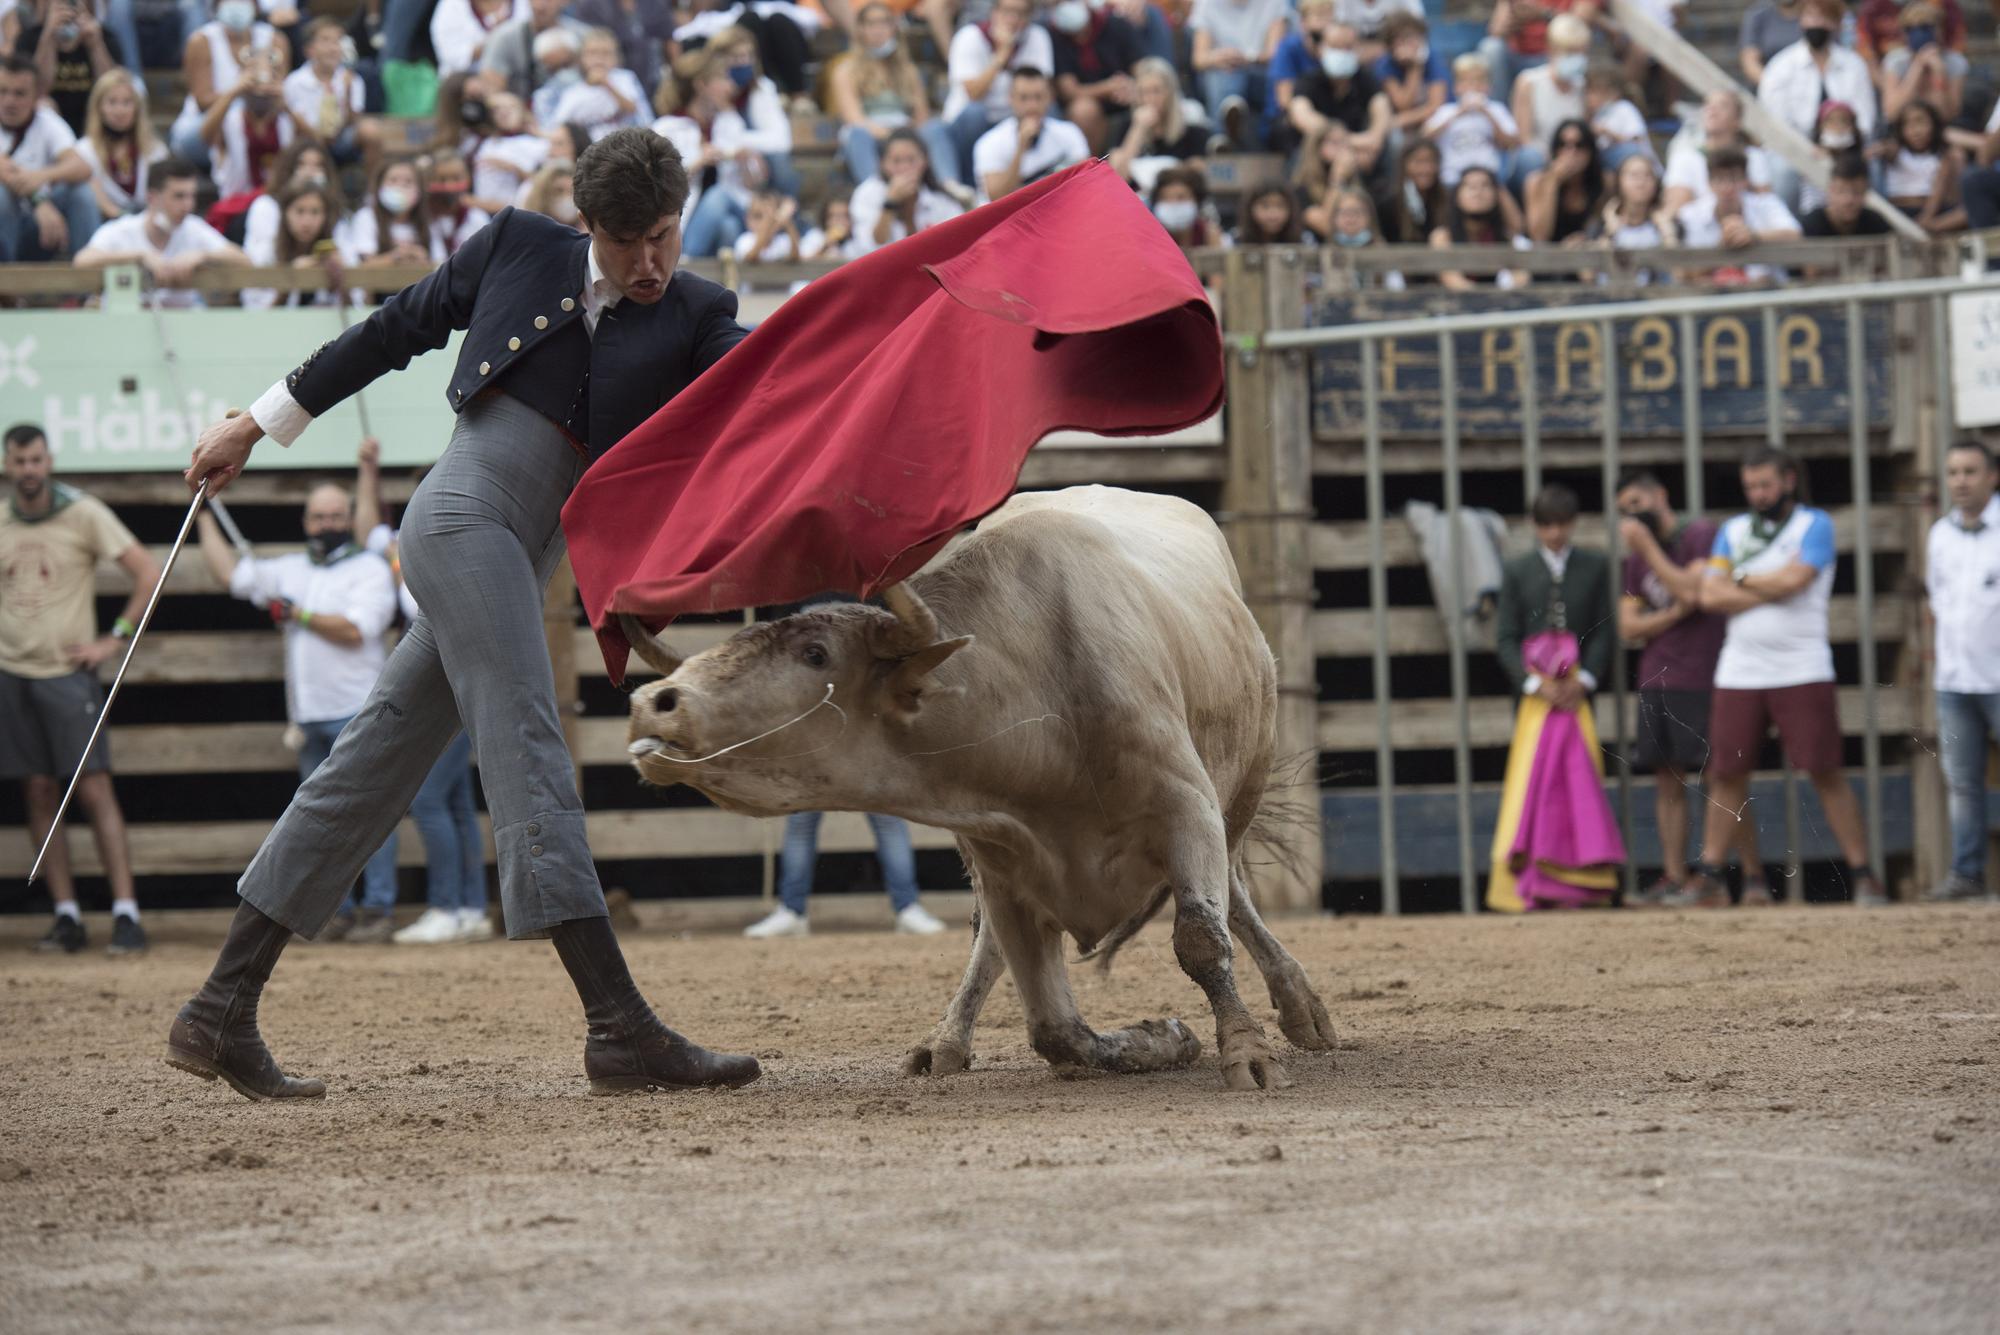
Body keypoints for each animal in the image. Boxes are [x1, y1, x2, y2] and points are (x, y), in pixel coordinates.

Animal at [624, 485, 1336, 1087]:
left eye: (816, 654)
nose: (656, 702)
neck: (1042, 696)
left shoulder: (1188, 809)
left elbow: (1201, 940)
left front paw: (1245, 1053)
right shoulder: (1002, 857)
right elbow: (1054, 1026)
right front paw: (1162, 1037)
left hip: (1239, 793)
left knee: (1235, 895)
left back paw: (1301, 1005)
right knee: (987, 944)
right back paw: (945, 1042)